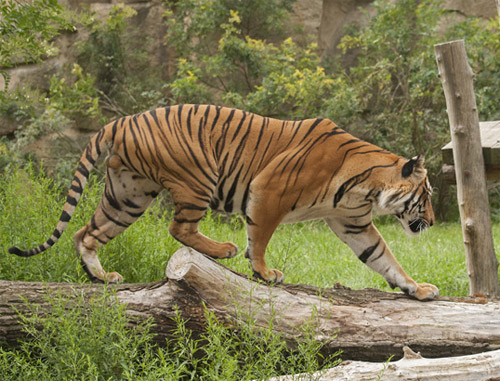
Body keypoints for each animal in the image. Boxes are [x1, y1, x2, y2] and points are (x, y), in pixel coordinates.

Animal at [7, 104, 438, 300]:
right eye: (427, 196)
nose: (433, 222)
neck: (368, 186)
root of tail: (122, 119)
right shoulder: (268, 190)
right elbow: (259, 239)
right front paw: (265, 272)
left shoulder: (353, 222)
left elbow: (383, 257)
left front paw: (416, 288)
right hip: (196, 176)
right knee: (179, 227)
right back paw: (222, 249)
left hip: (127, 196)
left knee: (86, 233)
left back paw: (101, 277)